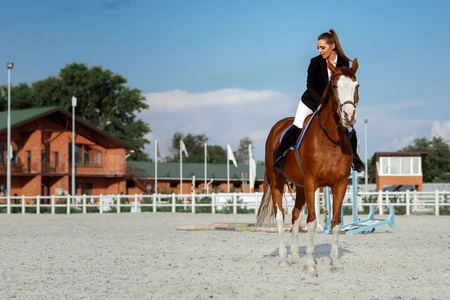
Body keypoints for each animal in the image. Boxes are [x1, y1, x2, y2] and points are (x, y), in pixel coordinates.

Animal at [258, 58, 360, 274]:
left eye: (357, 86)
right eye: (334, 86)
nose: (348, 116)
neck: (331, 141)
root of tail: (277, 127)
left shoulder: (340, 184)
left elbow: (335, 222)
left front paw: (335, 263)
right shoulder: (312, 182)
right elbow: (312, 221)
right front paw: (310, 263)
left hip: (300, 186)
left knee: (295, 217)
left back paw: (295, 258)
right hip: (278, 181)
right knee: (280, 217)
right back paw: (284, 258)